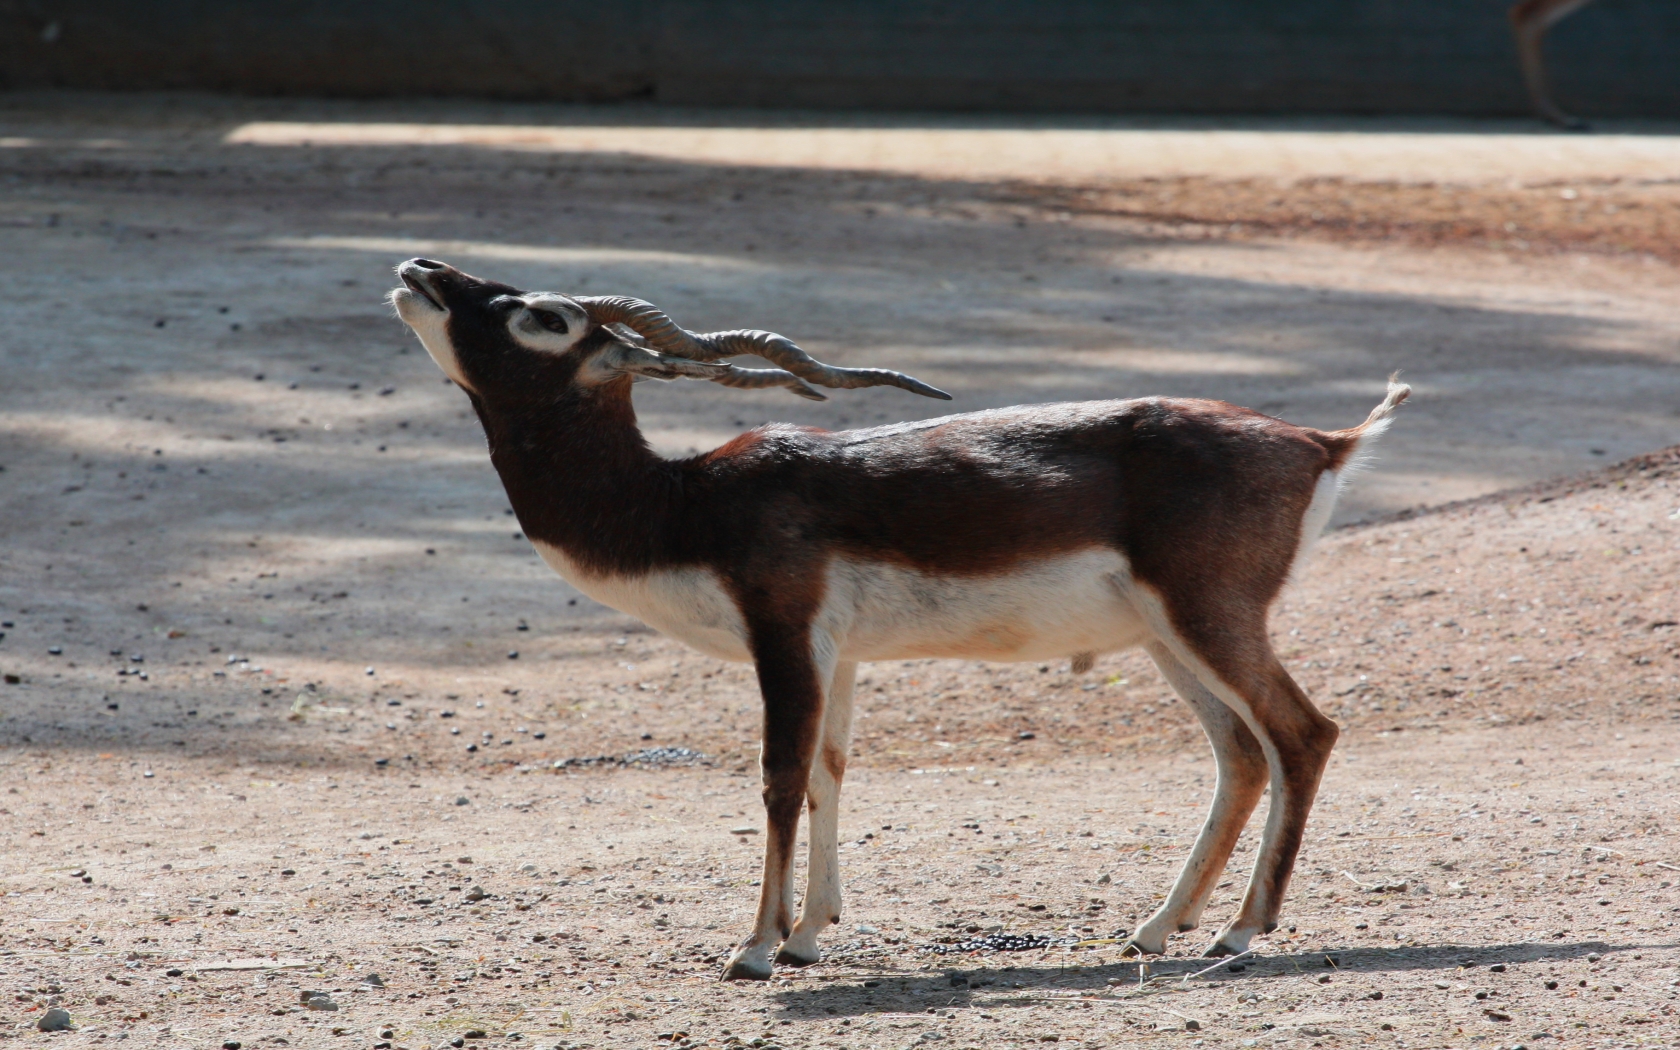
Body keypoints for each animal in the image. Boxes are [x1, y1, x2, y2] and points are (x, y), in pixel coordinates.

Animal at [389, 258, 1404, 981]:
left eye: (543, 315)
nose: (420, 268)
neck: (681, 502)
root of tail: (1321, 444)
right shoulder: (837, 655)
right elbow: (829, 775)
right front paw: (807, 936)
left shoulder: (783, 632)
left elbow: (779, 779)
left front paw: (754, 950)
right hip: (1165, 638)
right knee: (1241, 754)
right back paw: (1156, 928)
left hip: (1209, 618)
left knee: (1302, 733)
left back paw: (1238, 935)